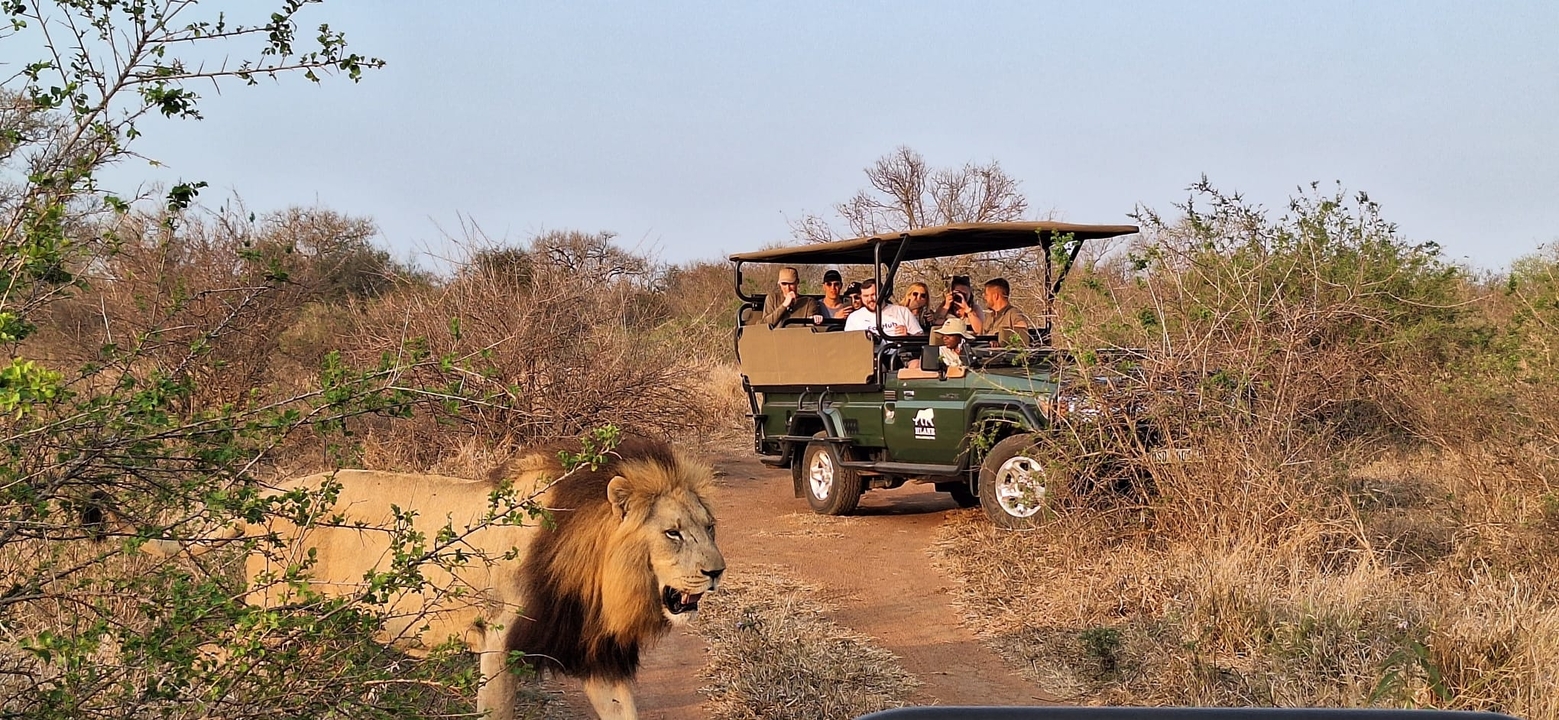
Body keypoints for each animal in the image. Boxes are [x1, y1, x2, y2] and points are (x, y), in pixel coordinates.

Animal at [163, 437, 723, 720]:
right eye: (672, 533)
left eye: (709, 527)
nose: (716, 572)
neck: (599, 574)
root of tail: (268, 494)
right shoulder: (500, 643)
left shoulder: (593, 653)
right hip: (271, 615)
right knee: (210, 655)